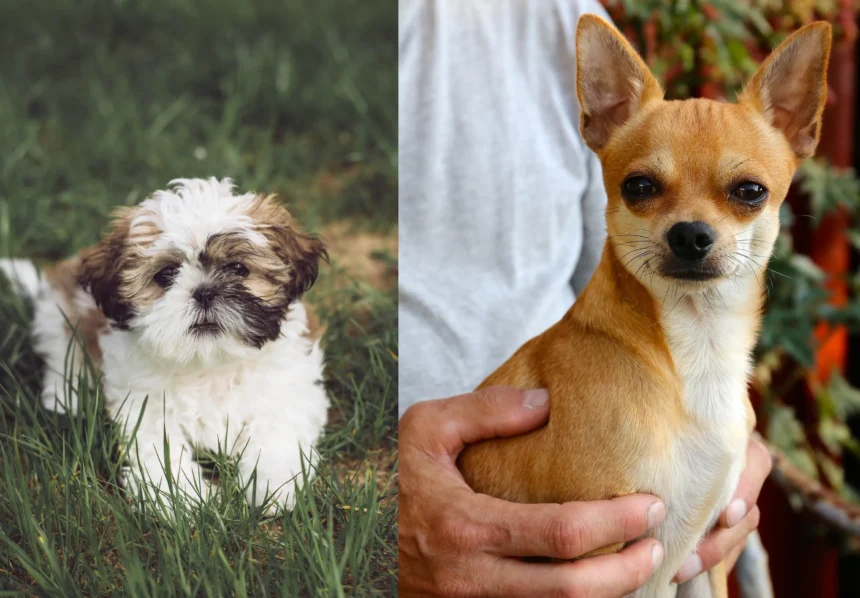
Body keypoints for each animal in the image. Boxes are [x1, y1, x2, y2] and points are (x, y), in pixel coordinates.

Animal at [0, 178, 330, 516]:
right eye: (166, 275)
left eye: (239, 268)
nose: (205, 292)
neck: (210, 363)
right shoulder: (144, 407)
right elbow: (161, 451)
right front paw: (185, 500)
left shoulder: (286, 389)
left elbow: (277, 429)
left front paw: (273, 486)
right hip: (58, 316)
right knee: (60, 355)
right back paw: (67, 398)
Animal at [460, 14, 828, 598]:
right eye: (638, 186)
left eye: (750, 191)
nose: (690, 234)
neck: (696, 350)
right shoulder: (597, 551)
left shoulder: (702, 558)